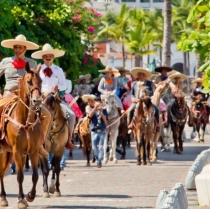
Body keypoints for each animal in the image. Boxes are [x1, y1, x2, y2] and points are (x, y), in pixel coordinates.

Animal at [0, 62, 42, 208]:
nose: (37, 101)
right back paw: (3, 198)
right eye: (29, 81)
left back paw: (4, 197)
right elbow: (20, 176)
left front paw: (30, 196)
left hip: (7, 152)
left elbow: (35, 175)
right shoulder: (17, 151)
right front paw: (21, 200)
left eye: (41, 81)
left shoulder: (33, 150)